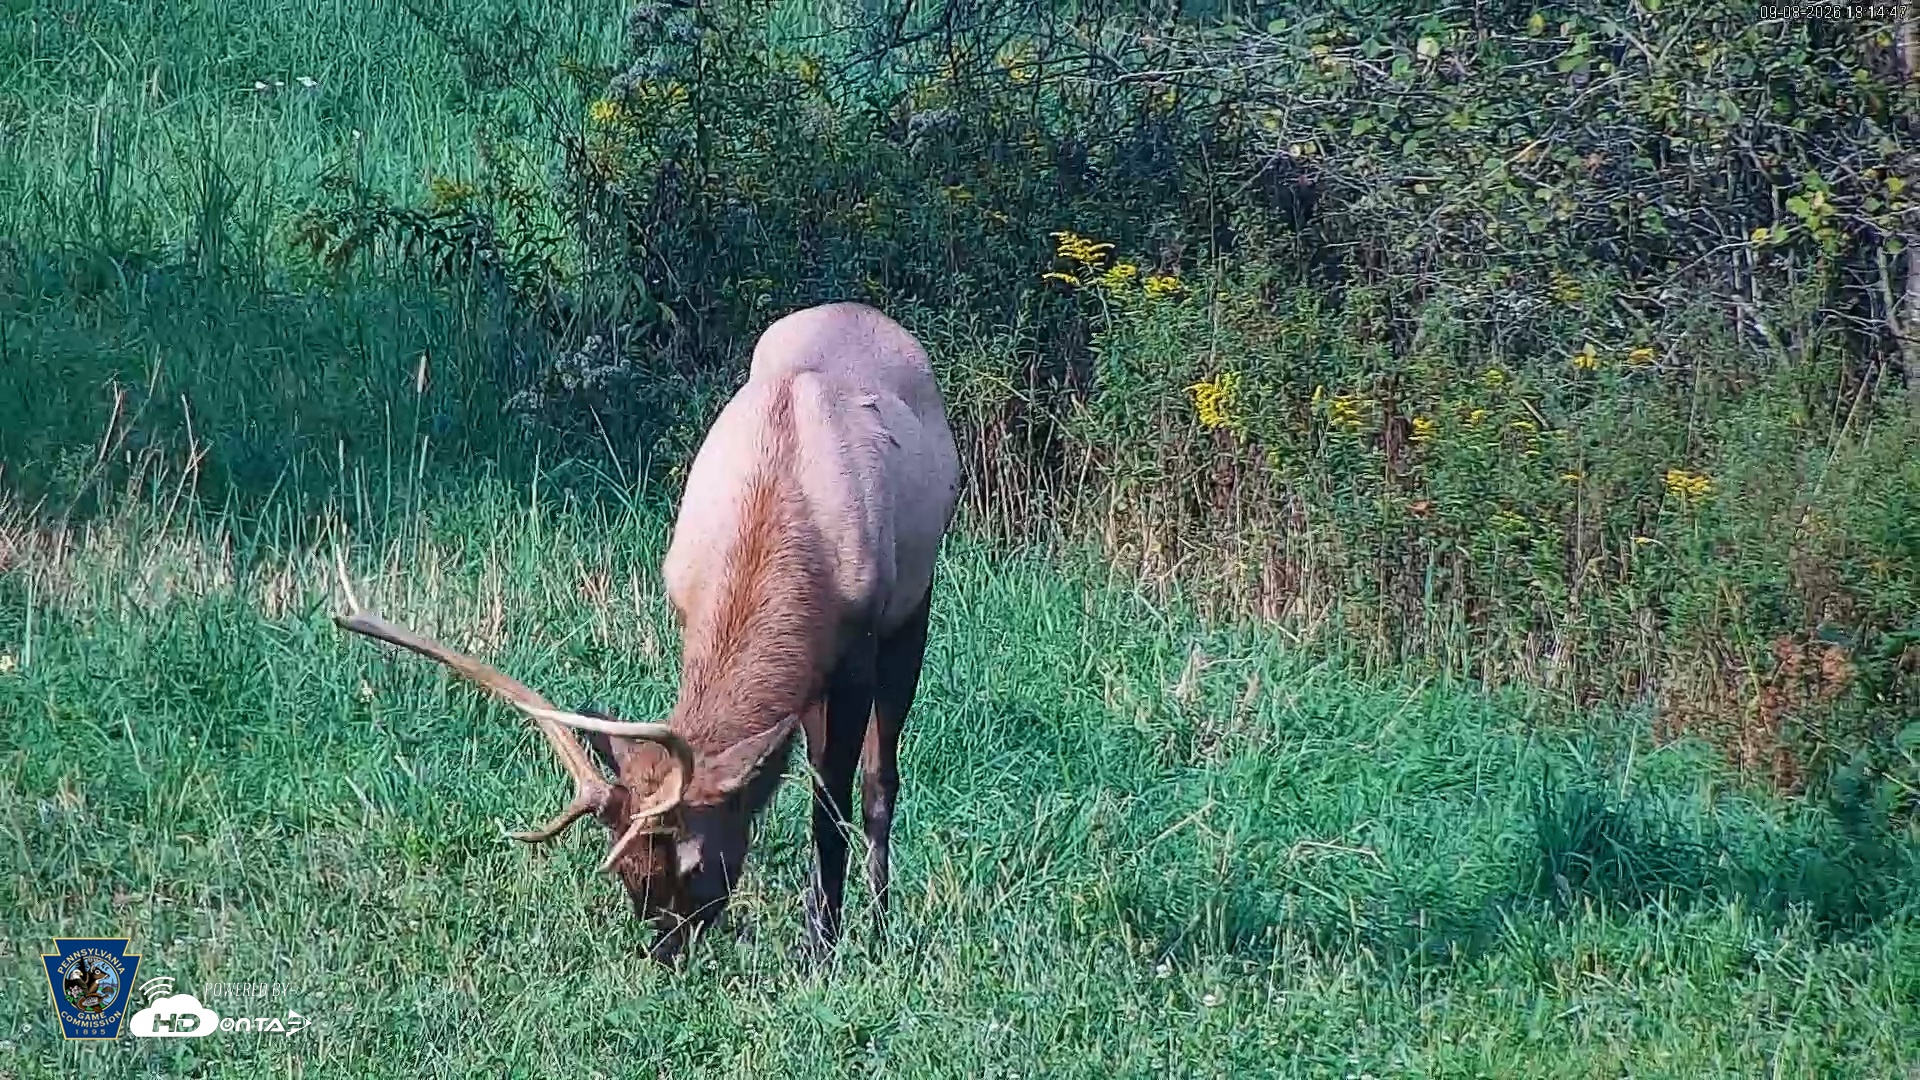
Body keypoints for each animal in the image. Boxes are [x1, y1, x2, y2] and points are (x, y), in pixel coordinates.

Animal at [333, 302, 960, 963]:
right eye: (628, 872)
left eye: (694, 863)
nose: (664, 949)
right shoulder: (693, 613)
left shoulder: (860, 645)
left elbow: (833, 798)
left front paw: (821, 946)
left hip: (914, 605)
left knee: (880, 781)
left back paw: (880, 922)